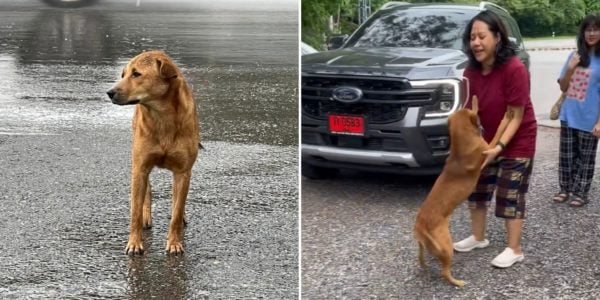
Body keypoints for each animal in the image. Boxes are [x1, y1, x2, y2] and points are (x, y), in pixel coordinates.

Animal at [106, 49, 200, 255]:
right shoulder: (140, 167)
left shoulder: (183, 172)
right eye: (123, 74)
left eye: (136, 74)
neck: (163, 118)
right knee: (147, 191)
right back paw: (146, 217)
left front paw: (174, 242)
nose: (109, 92)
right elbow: (134, 212)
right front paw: (134, 242)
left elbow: (177, 210)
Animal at [412, 96, 510, 286]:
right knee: (444, 272)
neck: (460, 148)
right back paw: (457, 282)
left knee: (421, 257)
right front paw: (505, 117)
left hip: (427, 246)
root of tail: (421, 224)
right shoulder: (488, 148)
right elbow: (498, 132)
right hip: (447, 244)